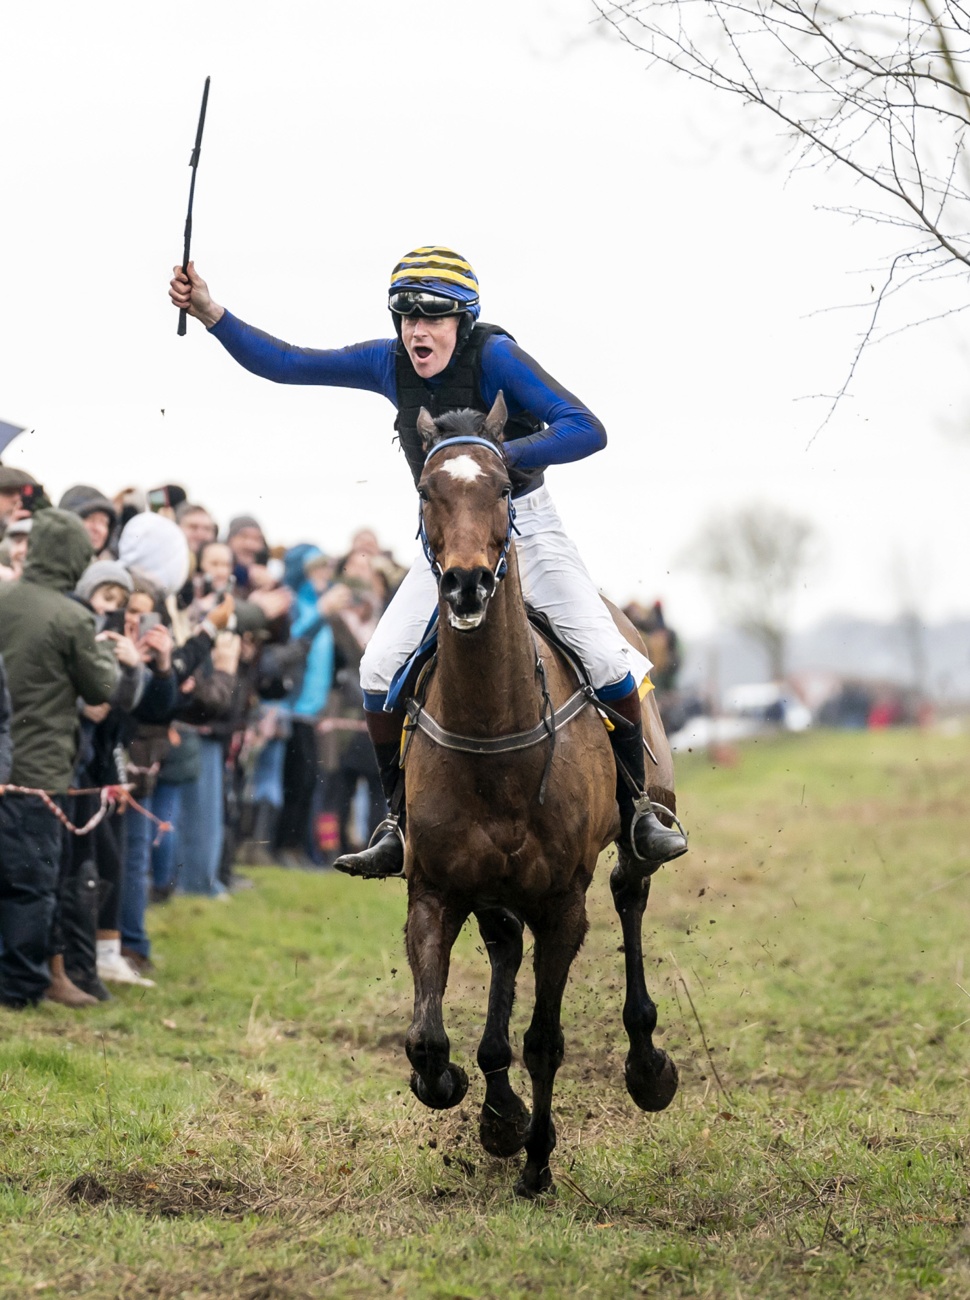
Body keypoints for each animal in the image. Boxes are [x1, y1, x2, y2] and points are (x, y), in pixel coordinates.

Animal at [397, 395, 676, 1196]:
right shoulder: (435, 887)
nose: (465, 584)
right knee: (502, 948)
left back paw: (647, 1063)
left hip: (642, 826)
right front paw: (479, 1102)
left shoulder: (561, 902)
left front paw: (538, 1163)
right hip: (492, 888)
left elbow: (545, 1039)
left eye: (499, 487)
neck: (496, 728)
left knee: (630, 891)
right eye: (427, 491)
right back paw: (497, 1103)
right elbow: (426, 1040)